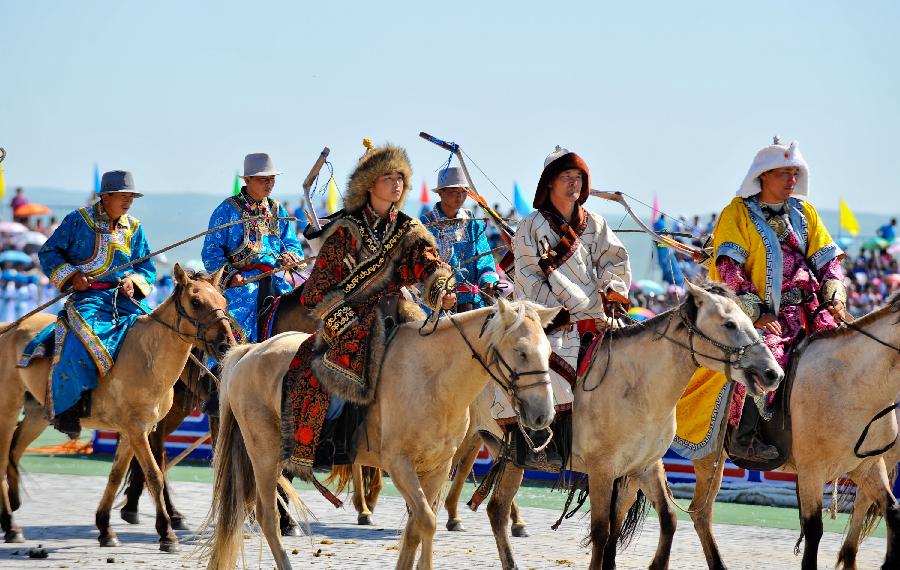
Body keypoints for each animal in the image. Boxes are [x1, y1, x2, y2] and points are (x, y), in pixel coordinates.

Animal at [0, 266, 236, 552]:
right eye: (196, 302)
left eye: (223, 301)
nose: (226, 344)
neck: (147, 355)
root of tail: (7, 328)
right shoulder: (136, 429)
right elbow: (154, 475)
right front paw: (166, 533)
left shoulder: (132, 430)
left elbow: (115, 475)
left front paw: (105, 528)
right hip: (7, 408)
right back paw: (11, 525)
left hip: (36, 414)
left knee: (14, 450)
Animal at [205, 300, 564, 564]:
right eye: (521, 351)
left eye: (548, 352)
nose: (542, 414)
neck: (432, 378)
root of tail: (248, 352)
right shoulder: (400, 464)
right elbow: (427, 523)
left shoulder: (437, 468)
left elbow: (416, 527)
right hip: (263, 455)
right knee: (267, 517)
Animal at [478, 280, 780, 568]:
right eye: (729, 324)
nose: (772, 373)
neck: (638, 387)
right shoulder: (601, 470)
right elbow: (601, 530)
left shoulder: (645, 466)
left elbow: (668, 519)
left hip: (508, 457)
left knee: (496, 509)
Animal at [688, 290, 900, 568]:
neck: (854, 381)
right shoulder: (812, 470)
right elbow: (813, 529)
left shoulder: (867, 466)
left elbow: (890, 511)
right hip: (700, 454)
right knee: (697, 511)